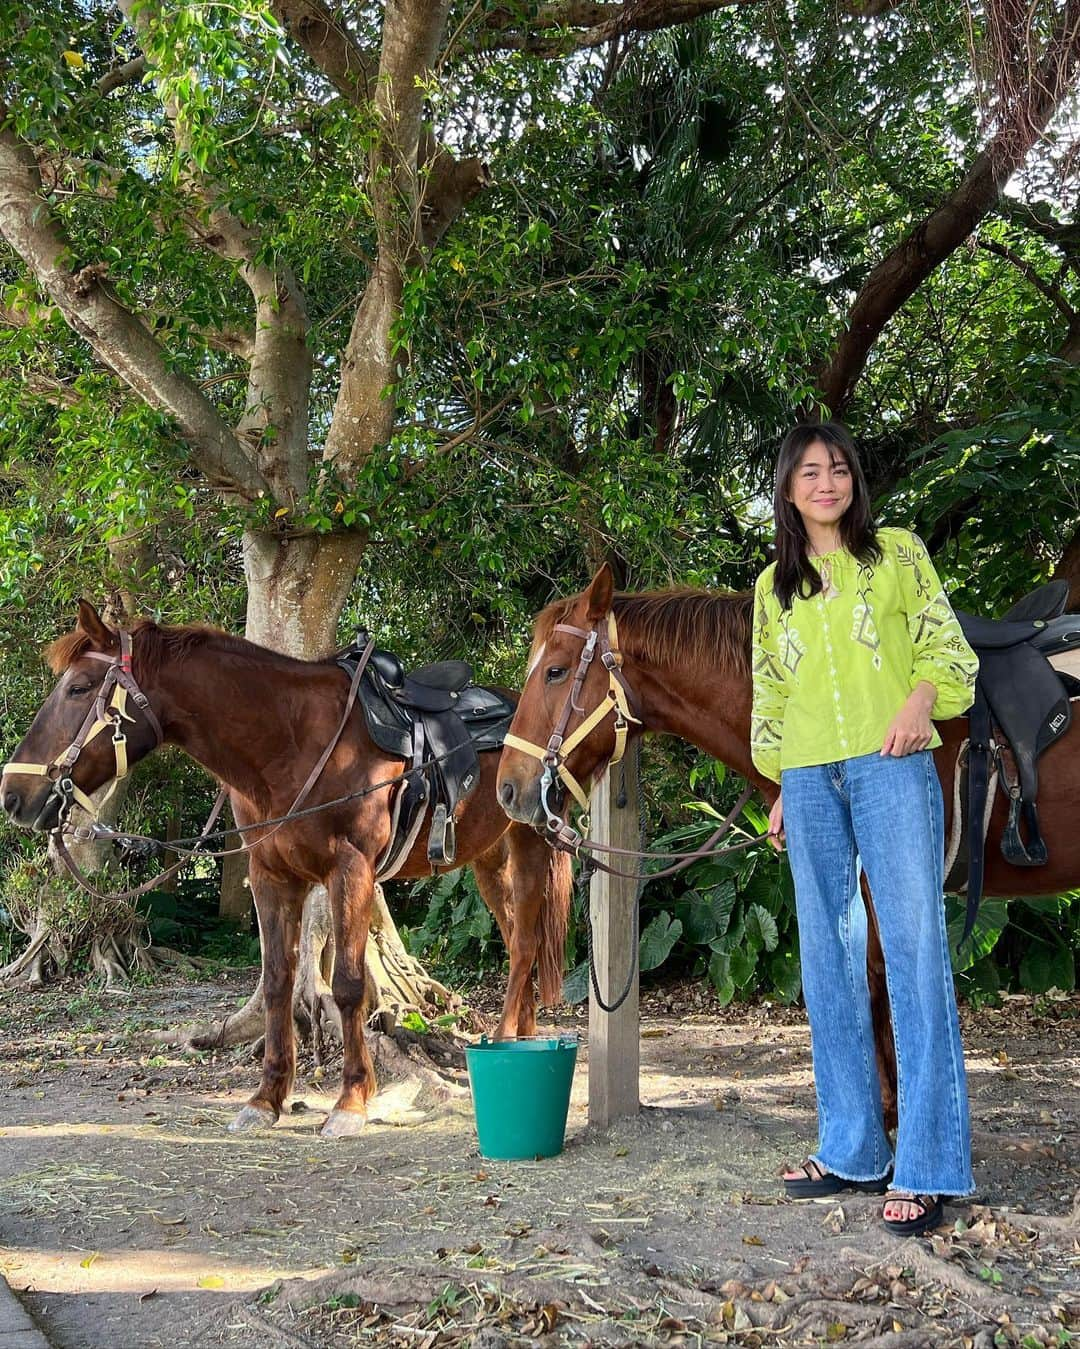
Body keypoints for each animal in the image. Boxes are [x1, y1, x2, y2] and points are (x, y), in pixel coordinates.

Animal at [2, 604, 571, 1138]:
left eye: (78, 688)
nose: (13, 794)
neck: (290, 740)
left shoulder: (350, 870)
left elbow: (348, 984)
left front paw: (351, 1101)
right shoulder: (271, 876)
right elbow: (277, 979)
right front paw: (267, 1098)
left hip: (530, 848)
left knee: (525, 943)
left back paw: (508, 1040)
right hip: (487, 859)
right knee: (515, 937)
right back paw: (519, 1038)